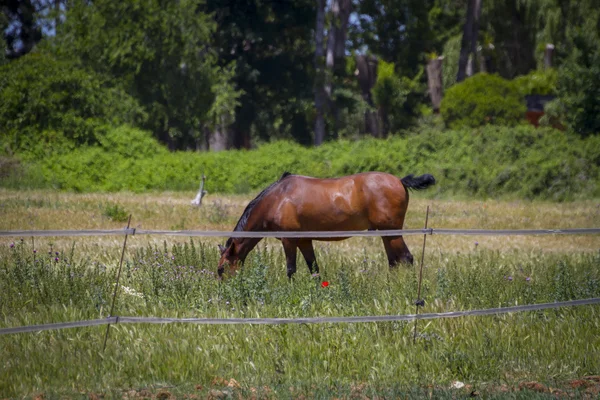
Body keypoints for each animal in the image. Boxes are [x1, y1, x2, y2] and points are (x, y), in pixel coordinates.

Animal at [218, 171, 434, 278]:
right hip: (386, 234)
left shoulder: (289, 241)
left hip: (393, 233)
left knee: (406, 258)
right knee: (394, 262)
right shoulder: (304, 241)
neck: (277, 198)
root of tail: (400, 181)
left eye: (221, 269)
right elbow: (314, 269)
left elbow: (291, 270)